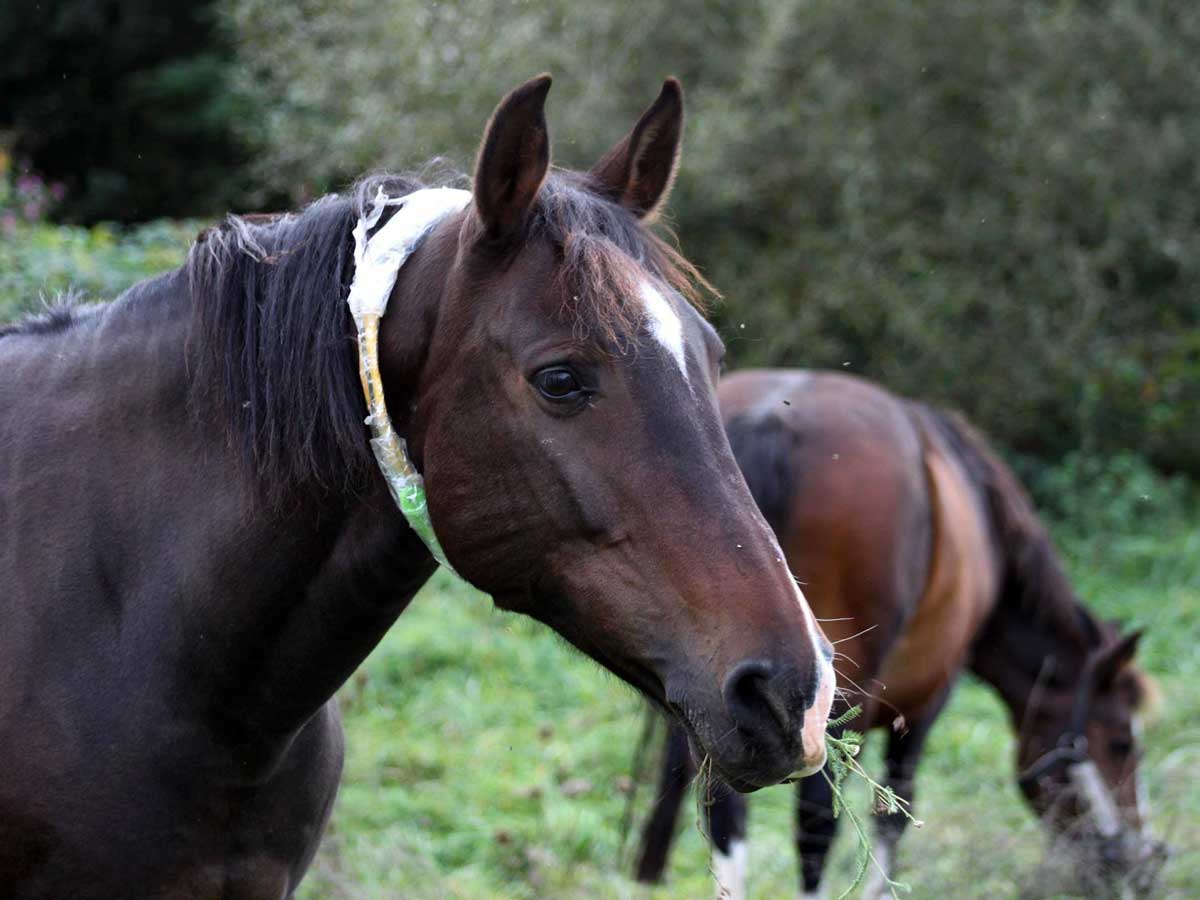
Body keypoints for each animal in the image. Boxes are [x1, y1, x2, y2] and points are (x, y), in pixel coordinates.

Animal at [635, 369, 1166, 899]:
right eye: (1123, 744)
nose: (1142, 865)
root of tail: (771, 418)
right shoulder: (927, 701)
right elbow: (893, 812)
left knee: (725, 813)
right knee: (816, 823)